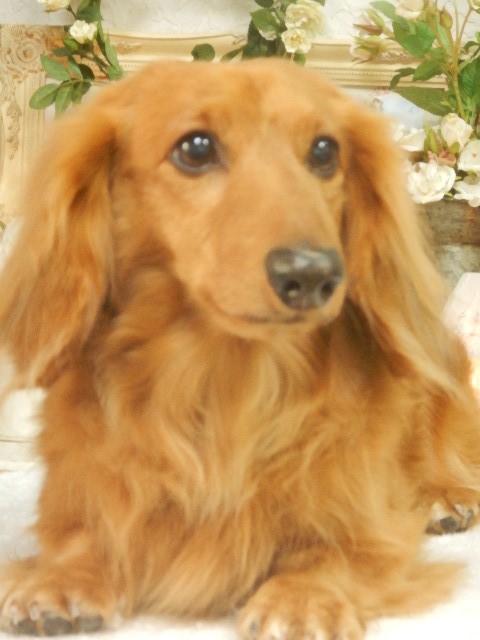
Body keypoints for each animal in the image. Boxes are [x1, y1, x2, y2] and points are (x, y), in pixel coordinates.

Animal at [0, 58, 480, 639]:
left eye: (325, 151)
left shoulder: (373, 527)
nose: (313, 274)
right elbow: (81, 535)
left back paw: (445, 498)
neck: (224, 383)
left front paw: (303, 596)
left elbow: (337, 553)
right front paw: (60, 578)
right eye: (196, 148)